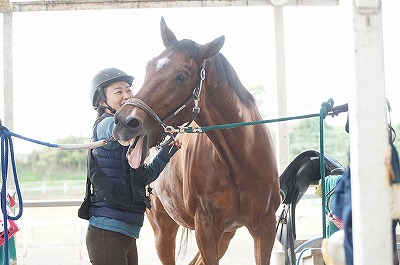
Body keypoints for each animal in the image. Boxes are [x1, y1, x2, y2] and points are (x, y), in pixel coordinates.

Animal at [112, 17, 280, 264]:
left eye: (182, 76)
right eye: (149, 67)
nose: (124, 121)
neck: (240, 160)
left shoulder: (265, 226)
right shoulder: (206, 229)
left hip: (226, 235)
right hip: (163, 231)